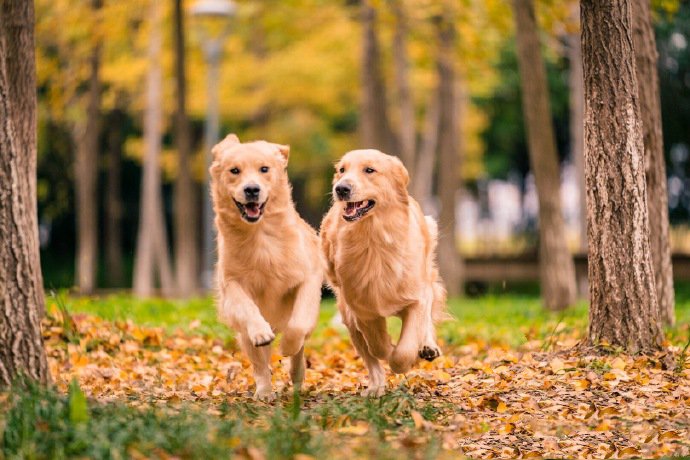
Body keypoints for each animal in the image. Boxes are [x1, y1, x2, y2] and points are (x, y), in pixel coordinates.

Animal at [208, 133, 322, 398]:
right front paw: (261, 332)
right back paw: (264, 391)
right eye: (235, 170)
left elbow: (297, 324)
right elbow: (247, 308)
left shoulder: (309, 277)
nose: (252, 189)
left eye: (264, 169)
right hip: (243, 336)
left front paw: (287, 345)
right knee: (260, 363)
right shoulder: (232, 284)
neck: (259, 236)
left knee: (299, 354)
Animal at [318, 148, 446, 396]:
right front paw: (388, 348)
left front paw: (403, 359)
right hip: (347, 314)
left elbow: (405, 348)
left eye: (370, 170)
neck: (374, 239)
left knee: (427, 314)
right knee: (369, 356)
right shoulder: (363, 310)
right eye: (342, 170)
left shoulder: (416, 297)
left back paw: (427, 346)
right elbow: (377, 346)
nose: (341, 188)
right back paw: (375, 387)